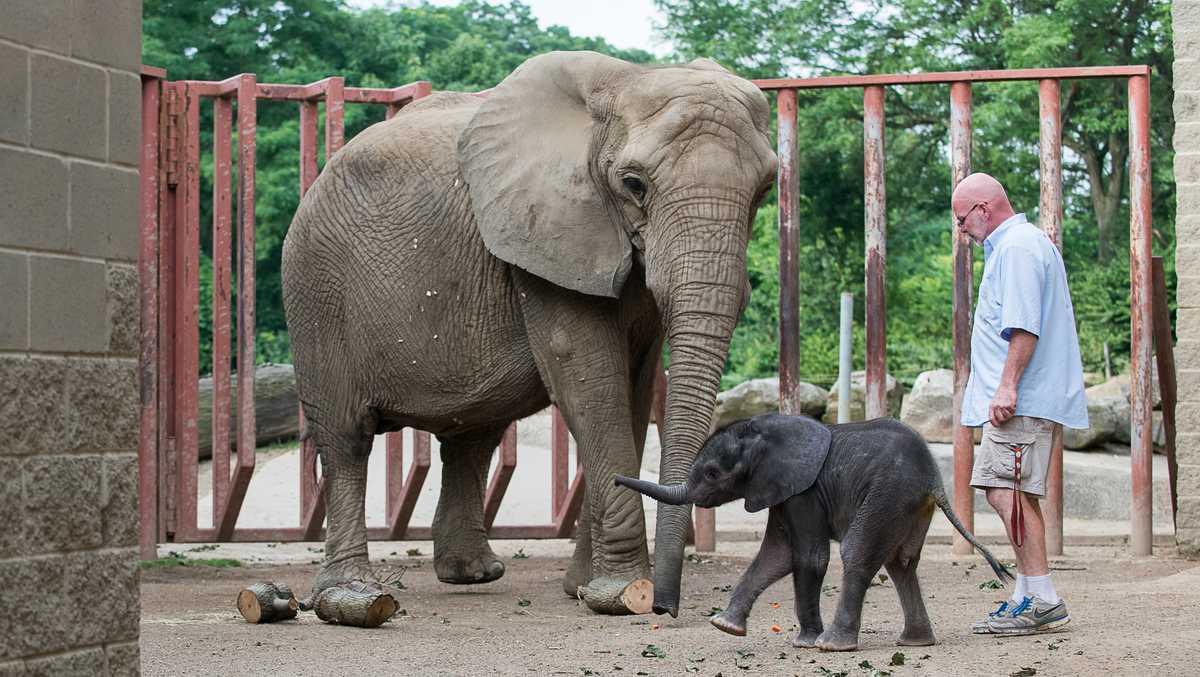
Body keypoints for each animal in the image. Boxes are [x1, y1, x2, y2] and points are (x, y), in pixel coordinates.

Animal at [281, 51, 777, 615]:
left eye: (765, 189)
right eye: (634, 184)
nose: (663, 606)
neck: (623, 82)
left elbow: (633, 390)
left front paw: (584, 588)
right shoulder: (547, 239)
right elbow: (590, 381)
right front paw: (618, 593)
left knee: (473, 437)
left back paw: (472, 574)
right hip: (316, 287)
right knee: (347, 438)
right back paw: (351, 594)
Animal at [615, 414, 1013, 650]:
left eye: (713, 473)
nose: (616, 480)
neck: (767, 430)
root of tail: (935, 480)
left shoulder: (803, 491)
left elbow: (808, 557)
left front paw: (804, 643)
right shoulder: (781, 490)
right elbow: (775, 556)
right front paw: (725, 626)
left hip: (889, 493)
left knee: (857, 553)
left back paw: (831, 645)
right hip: (910, 505)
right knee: (901, 564)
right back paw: (915, 643)